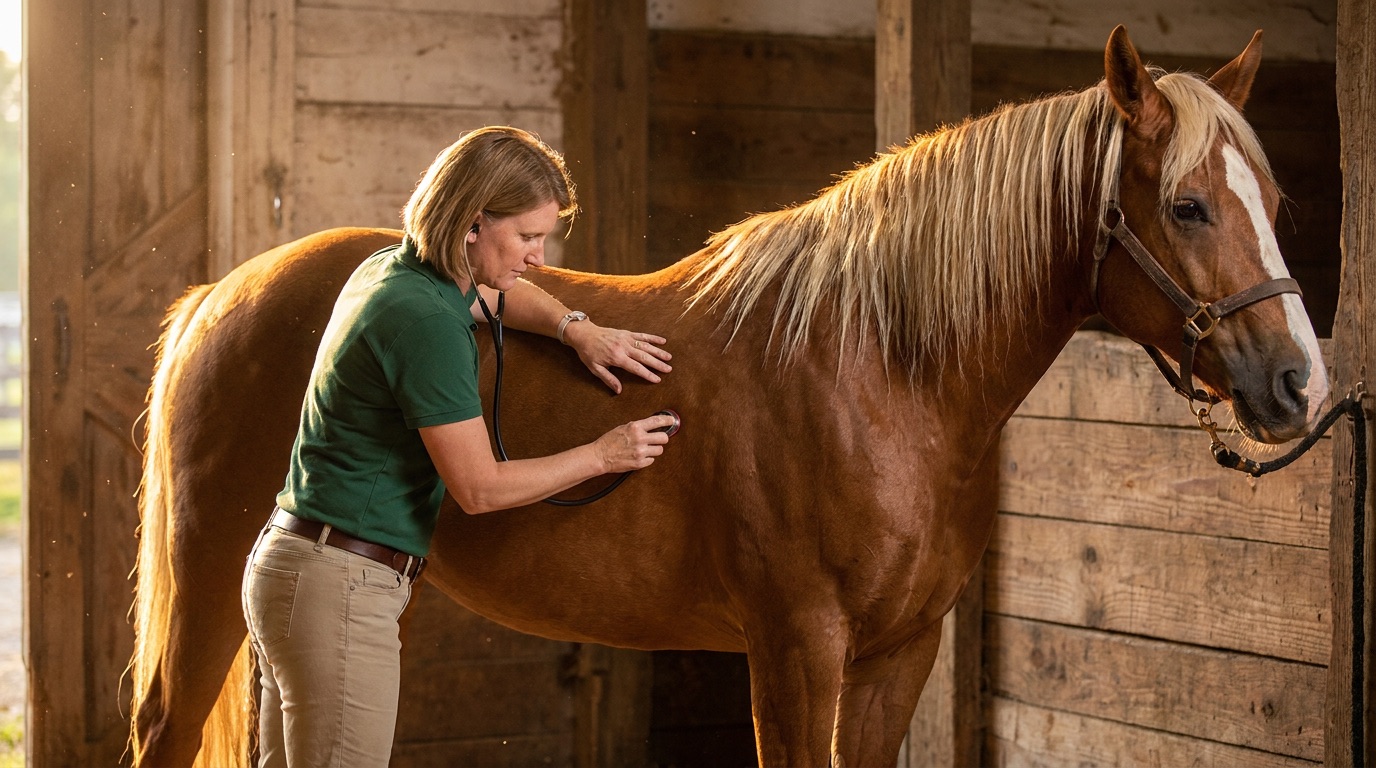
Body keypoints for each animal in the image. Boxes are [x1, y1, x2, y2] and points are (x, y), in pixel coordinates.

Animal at [128, 26, 1329, 767]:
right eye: (1186, 207)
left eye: (1273, 200)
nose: (1294, 383)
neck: (879, 371)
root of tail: (221, 294)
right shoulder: (795, 649)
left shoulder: (899, 656)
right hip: (209, 582)